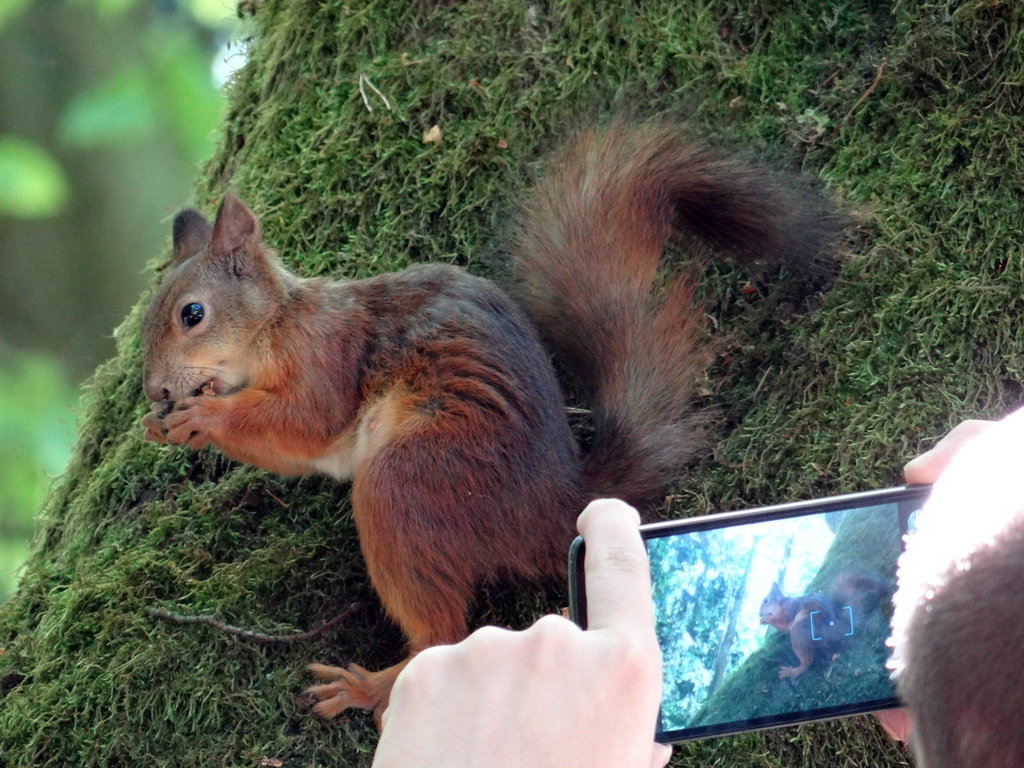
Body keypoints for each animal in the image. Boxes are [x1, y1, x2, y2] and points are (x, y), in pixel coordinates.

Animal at [140, 118, 835, 729]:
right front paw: (163, 425)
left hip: (413, 481)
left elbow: (301, 422)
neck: (277, 325)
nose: (154, 391)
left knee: (441, 633)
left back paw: (373, 686)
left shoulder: (324, 360)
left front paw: (203, 414)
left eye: (192, 314)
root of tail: (550, 504)